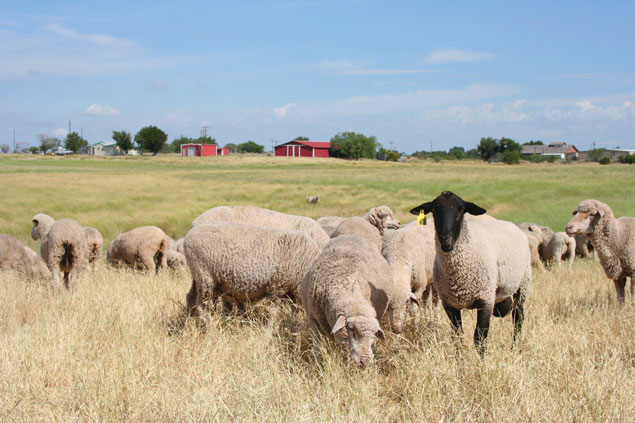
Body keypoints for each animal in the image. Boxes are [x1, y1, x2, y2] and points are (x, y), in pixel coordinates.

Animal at [184, 220, 322, 322]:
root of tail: (187, 238)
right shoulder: (278, 285)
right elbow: (273, 313)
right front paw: (269, 333)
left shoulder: (292, 292)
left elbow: (295, 312)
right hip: (204, 275)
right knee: (203, 308)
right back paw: (210, 330)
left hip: (197, 277)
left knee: (190, 299)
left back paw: (188, 326)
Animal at [300, 235, 390, 368]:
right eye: (352, 330)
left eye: (374, 335)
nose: (365, 361)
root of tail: (353, 235)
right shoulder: (313, 320)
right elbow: (318, 347)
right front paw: (316, 364)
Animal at [410, 191, 536, 354]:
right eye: (434, 210)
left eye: (461, 210)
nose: (445, 240)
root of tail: (508, 223)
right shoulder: (449, 304)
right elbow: (457, 336)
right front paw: (460, 359)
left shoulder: (485, 299)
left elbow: (480, 337)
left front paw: (479, 360)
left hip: (522, 286)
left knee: (518, 318)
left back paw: (514, 348)